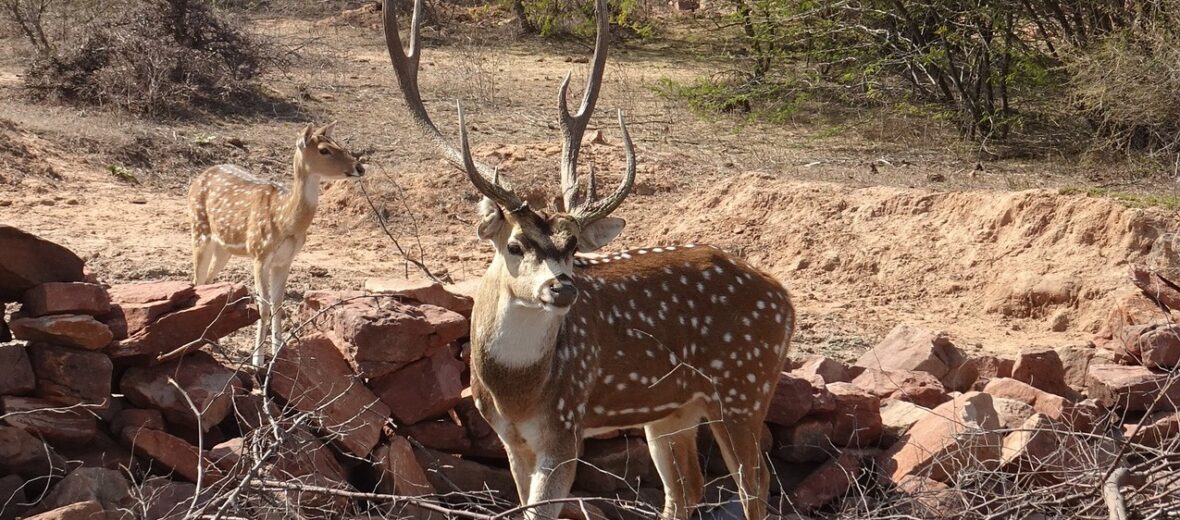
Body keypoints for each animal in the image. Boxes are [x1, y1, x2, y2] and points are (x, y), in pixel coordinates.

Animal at [382, 2, 797, 516]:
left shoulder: (566, 426)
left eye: (574, 245)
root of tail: (785, 299)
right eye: (515, 245)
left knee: (754, 483)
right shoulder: (508, 438)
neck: (518, 393)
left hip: (745, 387)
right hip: (673, 409)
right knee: (686, 488)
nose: (563, 288)